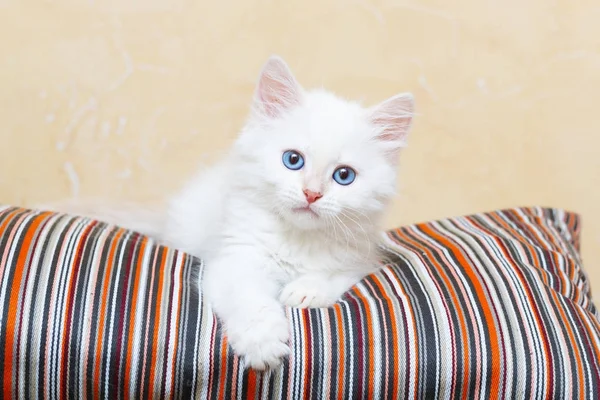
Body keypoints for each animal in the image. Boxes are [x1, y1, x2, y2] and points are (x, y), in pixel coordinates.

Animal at [41, 54, 412, 370]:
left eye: (343, 176)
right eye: (293, 160)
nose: (312, 194)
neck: (296, 238)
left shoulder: (361, 259)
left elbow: (334, 276)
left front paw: (305, 291)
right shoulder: (233, 260)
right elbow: (250, 300)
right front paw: (262, 343)